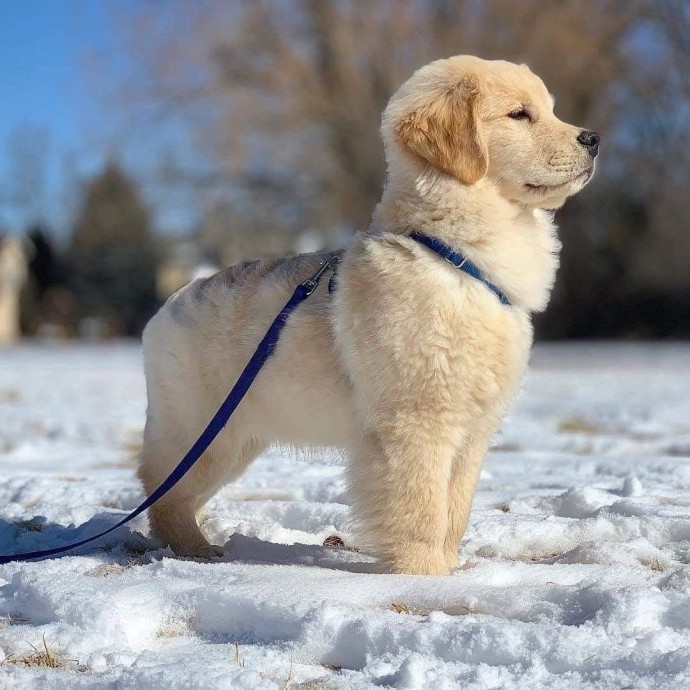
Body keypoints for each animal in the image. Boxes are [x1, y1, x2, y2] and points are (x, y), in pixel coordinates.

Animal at [138, 53, 596, 572]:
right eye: (520, 115)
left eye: (550, 110)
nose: (593, 138)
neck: (457, 258)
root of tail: (172, 301)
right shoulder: (417, 422)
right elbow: (423, 509)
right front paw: (425, 574)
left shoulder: (474, 429)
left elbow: (455, 509)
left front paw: (451, 567)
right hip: (203, 431)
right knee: (163, 491)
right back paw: (195, 549)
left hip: (235, 438)